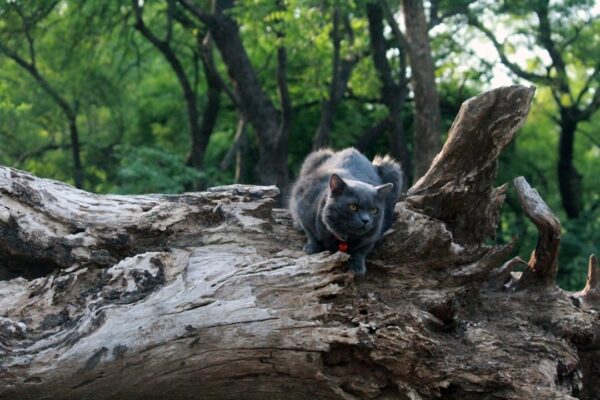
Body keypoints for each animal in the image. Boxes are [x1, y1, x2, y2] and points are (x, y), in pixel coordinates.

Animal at [288, 148, 400, 276]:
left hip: (392, 169)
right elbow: (310, 232)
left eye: (374, 210)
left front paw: (357, 266)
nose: (366, 220)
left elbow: (362, 250)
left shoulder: (374, 234)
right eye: (353, 207)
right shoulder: (303, 205)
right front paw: (312, 248)